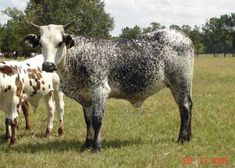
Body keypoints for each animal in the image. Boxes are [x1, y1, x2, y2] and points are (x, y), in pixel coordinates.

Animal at [24, 24, 195, 152]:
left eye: (59, 43)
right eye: (41, 44)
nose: (48, 65)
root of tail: (181, 35)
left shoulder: (100, 91)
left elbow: (97, 120)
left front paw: (96, 147)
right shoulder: (86, 97)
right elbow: (88, 122)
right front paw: (86, 145)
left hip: (180, 82)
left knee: (185, 108)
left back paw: (181, 139)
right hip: (183, 86)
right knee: (190, 105)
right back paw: (189, 137)